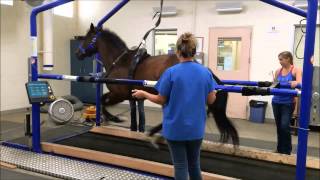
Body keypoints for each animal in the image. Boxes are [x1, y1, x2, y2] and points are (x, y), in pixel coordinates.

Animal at [76, 23, 239, 146]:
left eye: (87, 38)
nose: (78, 53)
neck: (120, 62)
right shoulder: (129, 96)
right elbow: (103, 101)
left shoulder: (119, 94)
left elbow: (102, 102)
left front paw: (116, 119)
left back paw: (155, 132)